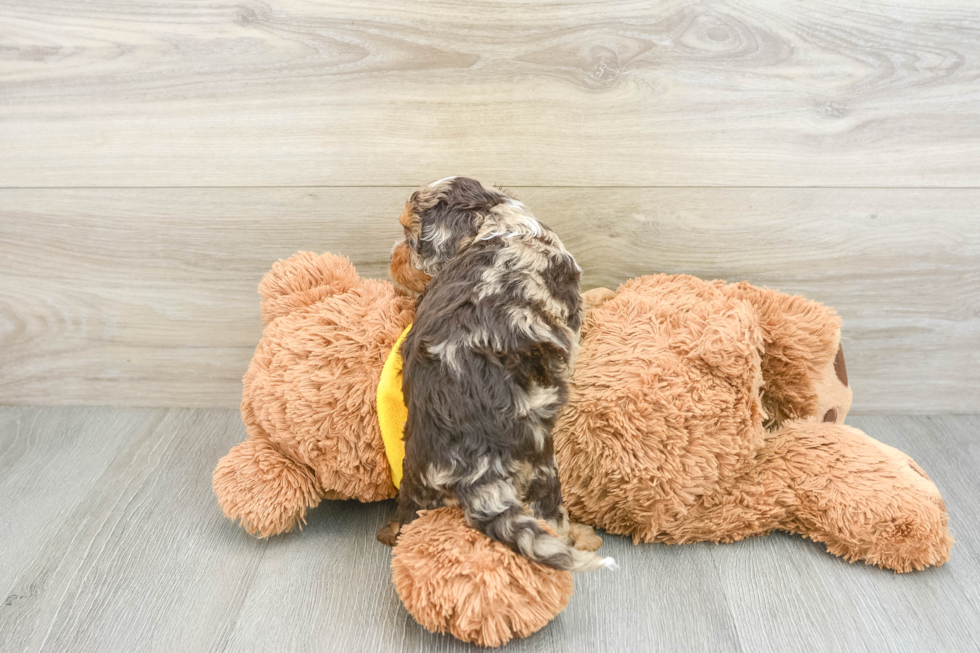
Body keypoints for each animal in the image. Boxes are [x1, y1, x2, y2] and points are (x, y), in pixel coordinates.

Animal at [380, 177, 616, 572]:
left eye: (409, 237)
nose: (391, 260)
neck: (500, 221)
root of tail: (470, 457)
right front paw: (602, 295)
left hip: (417, 474)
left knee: (406, 519)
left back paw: (389, 531)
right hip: (541, 467)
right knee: (552, 518)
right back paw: (581, 536)